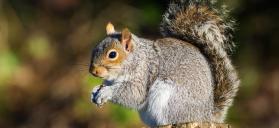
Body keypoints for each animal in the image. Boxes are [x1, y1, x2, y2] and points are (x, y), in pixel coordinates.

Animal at [89, 0, 241, 126]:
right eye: (95, 48)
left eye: (112, 54)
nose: (93, 71)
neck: (135, 58)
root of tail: (206, 116)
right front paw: (95, 91)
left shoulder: (143, 73)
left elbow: (133, 94)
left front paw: (106, 92)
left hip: (171, 100)